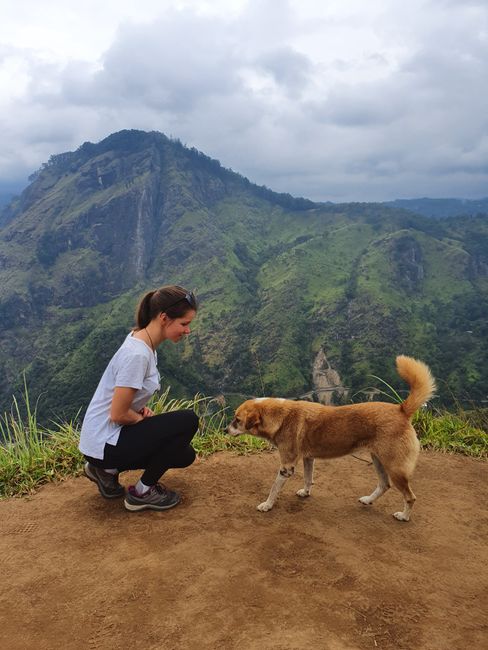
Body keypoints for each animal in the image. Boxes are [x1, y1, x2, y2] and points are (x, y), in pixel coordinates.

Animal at [225, 354, 434, 520]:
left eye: (237, 420)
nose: (226, 430)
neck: (280, 416)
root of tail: (401, 410)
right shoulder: (308, 458)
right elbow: (308, 478)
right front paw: (306, 493)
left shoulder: (287, 466)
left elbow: (274, 488)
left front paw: (267, 505)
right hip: (378, 459)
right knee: (384, 485)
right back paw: (368, 500)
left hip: (395, 467)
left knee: (410, 496)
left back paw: (404, 516)